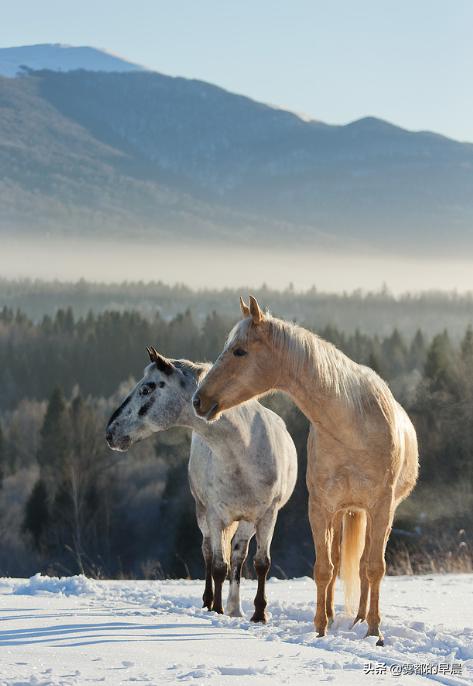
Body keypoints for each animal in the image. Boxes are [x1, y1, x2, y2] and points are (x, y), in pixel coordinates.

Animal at [107, 350, 296, 624]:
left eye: (147, 387)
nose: (111, 432)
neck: (243, 449)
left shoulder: (267, 515)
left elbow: (261, 563)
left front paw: (259, 614)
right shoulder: (216, 516)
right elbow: (218, 566)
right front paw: (217, 609)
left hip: (247, 522)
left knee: (238, 556)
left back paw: (236, 608)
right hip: (204, 514)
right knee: (208, 553)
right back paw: (211, 602)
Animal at [192, 298, 416, 648]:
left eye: (240, 351)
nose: (199, 400)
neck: (353, 425)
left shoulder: (381, 507)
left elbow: (373, 568)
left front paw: (375, 633)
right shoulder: (320, 507)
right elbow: (324, 568)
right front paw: (321, 628)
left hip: (371, 512)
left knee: (364, 566)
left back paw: (362, 620)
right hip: (341, 513)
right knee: (338, 562)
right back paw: (341, 618)